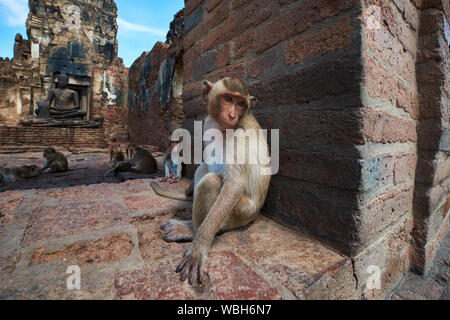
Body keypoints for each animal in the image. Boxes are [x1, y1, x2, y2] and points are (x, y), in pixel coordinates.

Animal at [151, 77, 270, 284]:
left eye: (240, 103)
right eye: (228, 99)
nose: (232, 115)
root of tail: (255, 215)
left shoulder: (240, 134)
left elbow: (235, 184)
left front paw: (198, 251)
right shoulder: (208, 123)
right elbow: (207, 159)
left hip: (240, 213)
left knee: (212, 181)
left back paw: (192, 231)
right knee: (205, 168)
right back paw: (189, 224)